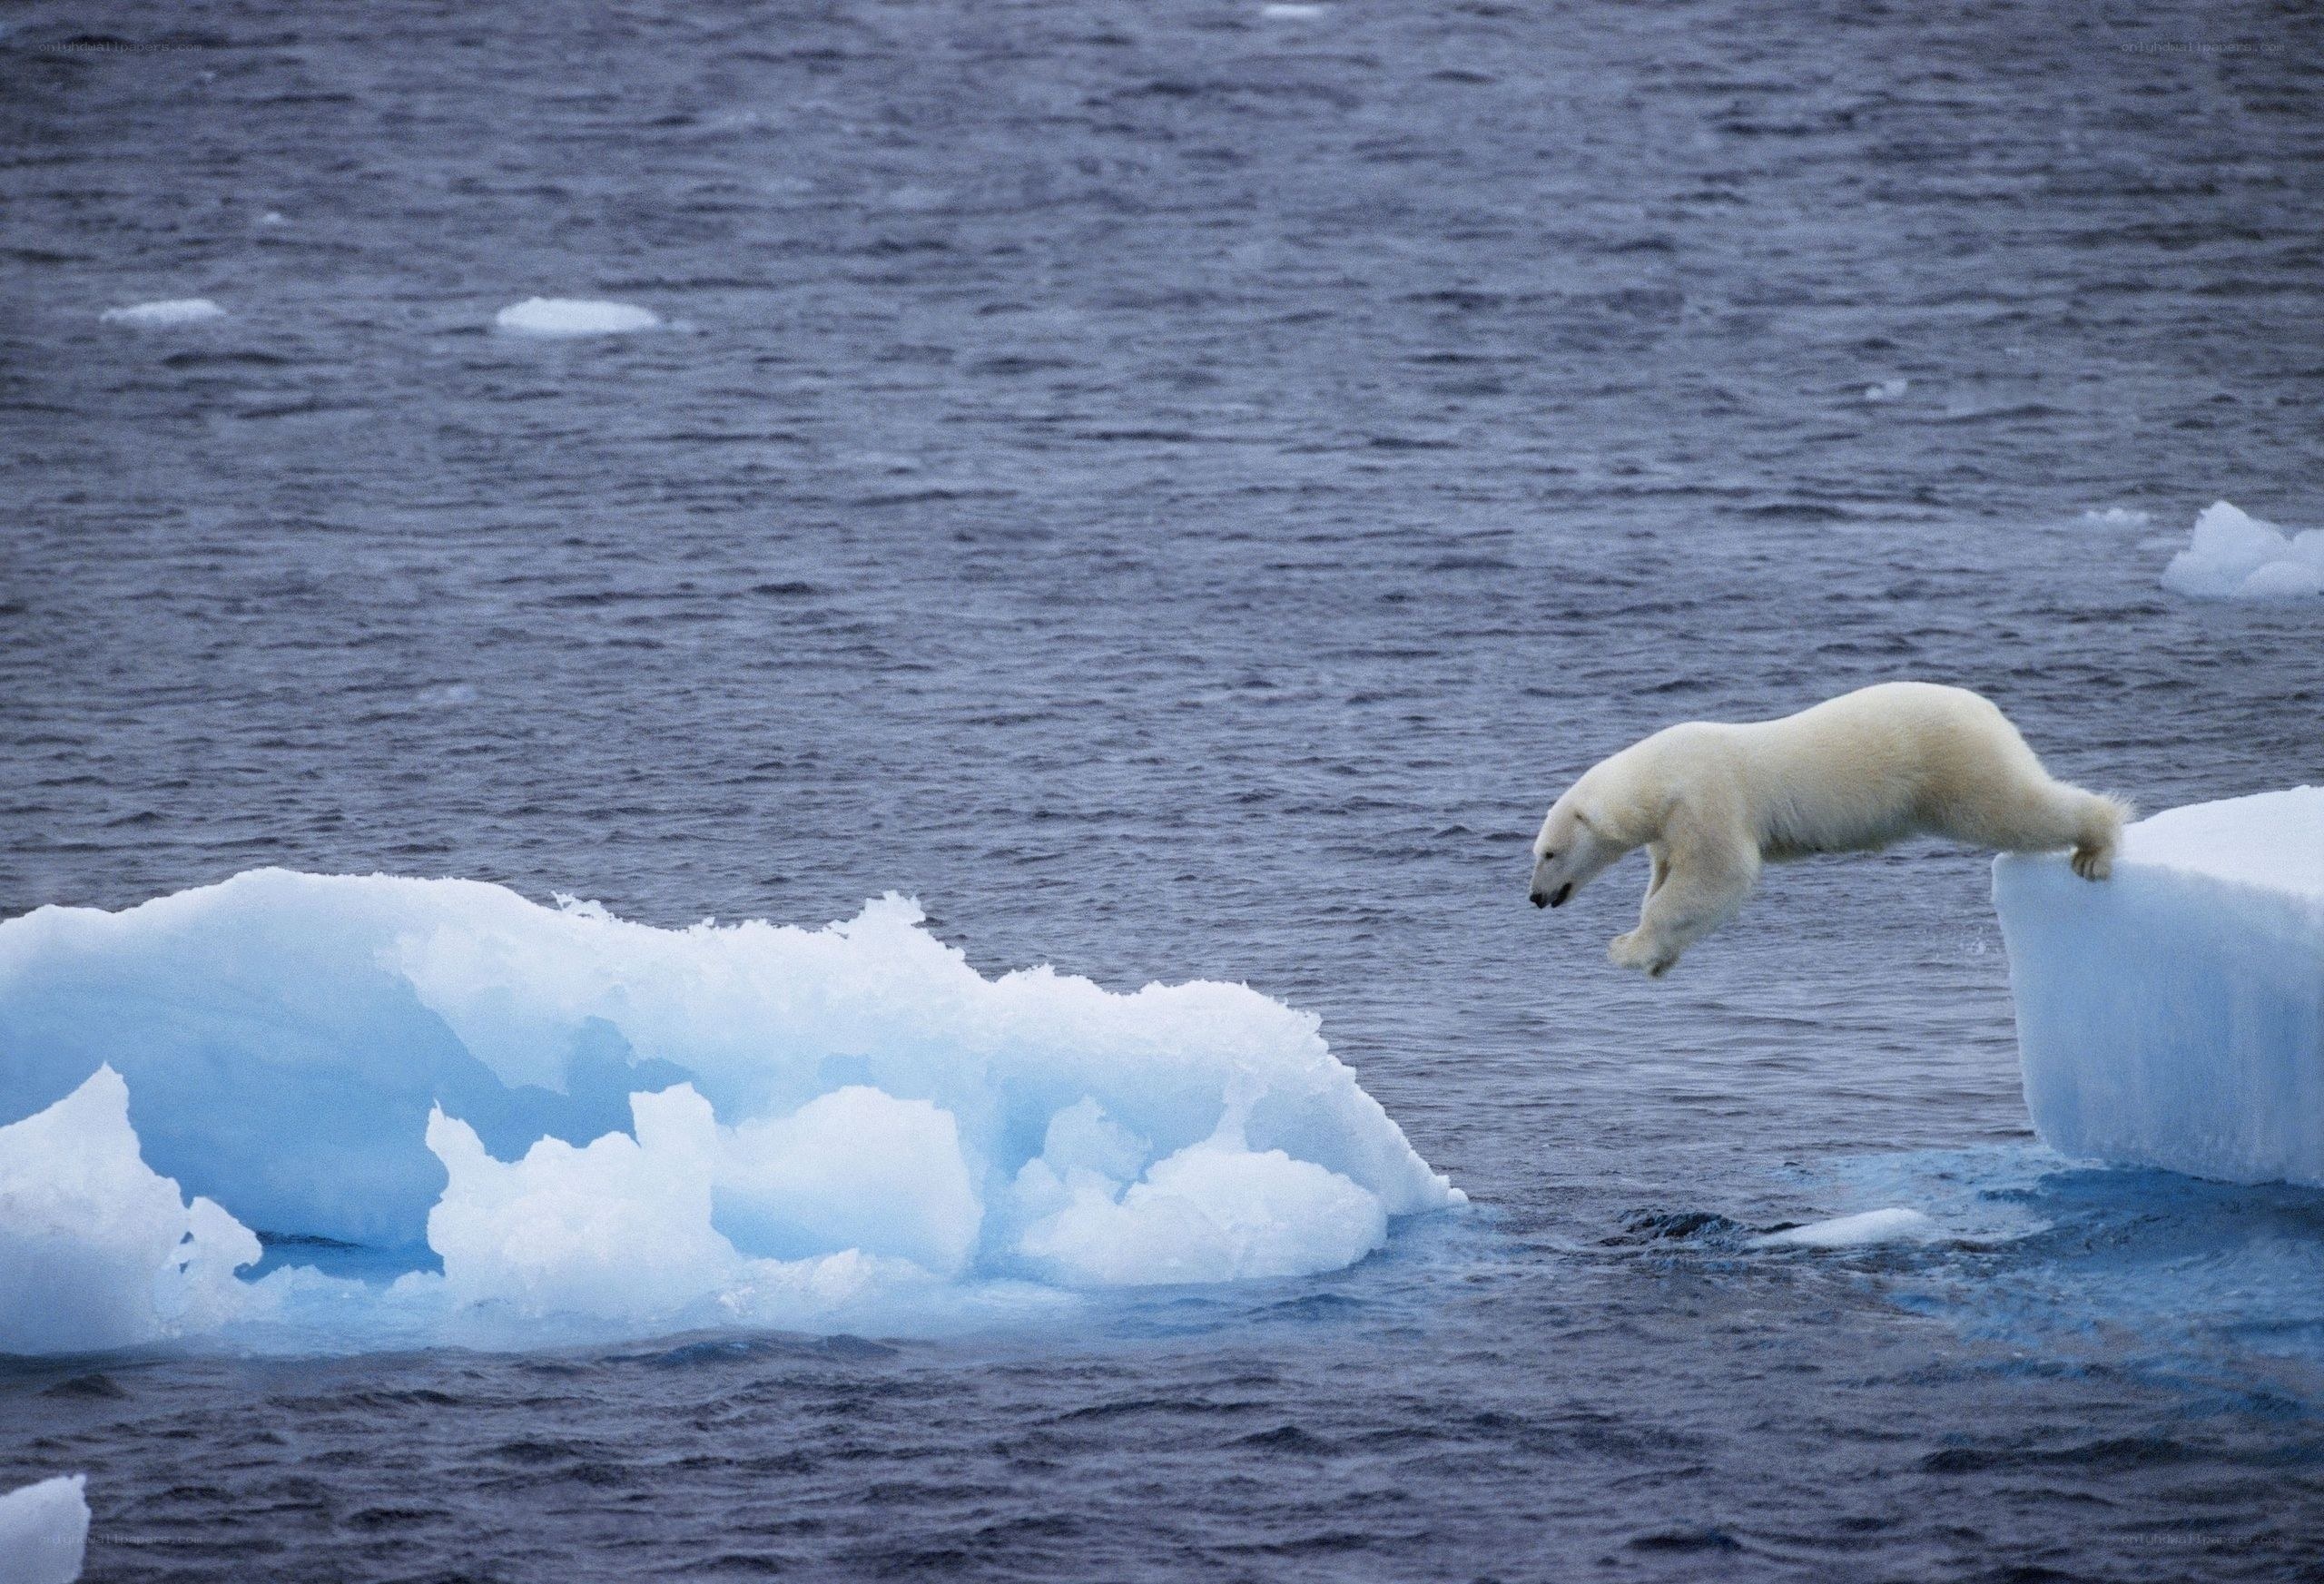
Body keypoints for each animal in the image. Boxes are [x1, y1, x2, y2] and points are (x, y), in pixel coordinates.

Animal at [1526, 682, 2130, 978]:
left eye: (1549, 853)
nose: (1535, 897)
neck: (1658, 776)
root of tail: (1988, 709)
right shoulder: (1671, 826)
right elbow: (1673, 882)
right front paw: (1658, 958)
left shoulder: (1706, 798)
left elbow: (1719, 874)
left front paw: (1626, 948)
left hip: (1953, 763)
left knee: (2013, 809)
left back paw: (2095, 846)